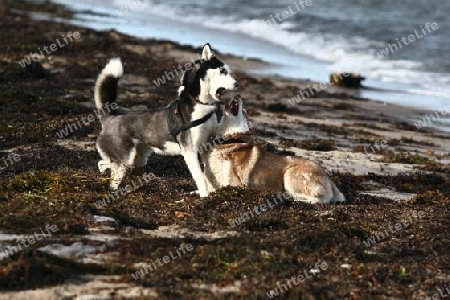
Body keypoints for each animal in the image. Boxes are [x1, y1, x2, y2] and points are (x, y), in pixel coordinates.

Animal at [93, 43, 237, 196]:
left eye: (229, 71)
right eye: (222, 71)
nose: (237, 84)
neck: (201, 105)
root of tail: (110, 116)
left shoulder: (206, 145)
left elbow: (207, 173)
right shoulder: (190, 151)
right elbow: (200, 178)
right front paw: (205, 196)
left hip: (138, 159)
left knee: (105, 163)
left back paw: (104, 171)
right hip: (127, 156)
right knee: (114, 165)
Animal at [202, 95, 346, 204]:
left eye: (244, 112)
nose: (238, 95)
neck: (231, 140)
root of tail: (331, 182)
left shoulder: (234, 184)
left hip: (290, 174)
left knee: (319, 200)